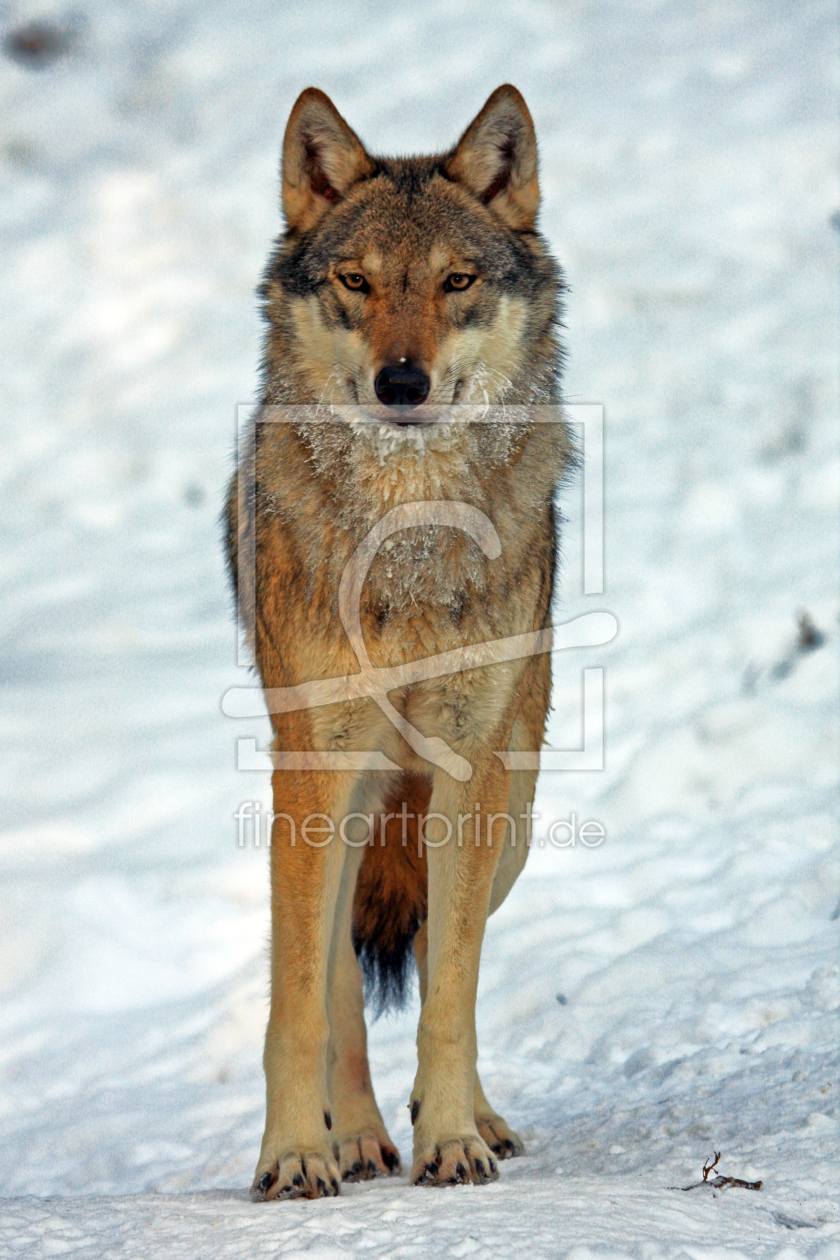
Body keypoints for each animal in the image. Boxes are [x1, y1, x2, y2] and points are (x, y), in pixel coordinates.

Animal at [226, 83, 574, 1194]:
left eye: (456, 281)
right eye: (358, 282)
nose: (402, 383)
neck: (409, 541)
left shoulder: (468, 770)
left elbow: (452, 991)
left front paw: (454, 1138)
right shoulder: (316, 770)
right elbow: (302, 1002)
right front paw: (297, 1154)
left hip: (511, 816)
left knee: (430, 951)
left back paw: (465, 1123)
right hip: (337, 807)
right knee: (339, 975)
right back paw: (359, 1137)